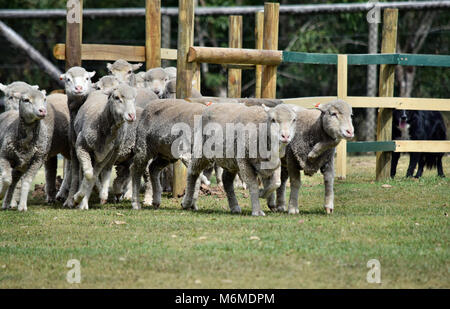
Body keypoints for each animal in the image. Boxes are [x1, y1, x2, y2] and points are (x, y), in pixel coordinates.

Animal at [59, 66, 96, 208]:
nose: (79, 88)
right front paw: (70, 199)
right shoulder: (74, 147)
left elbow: (81, 173)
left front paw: (79, 196)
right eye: (68, 79)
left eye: (87, 78)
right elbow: (75, 173)